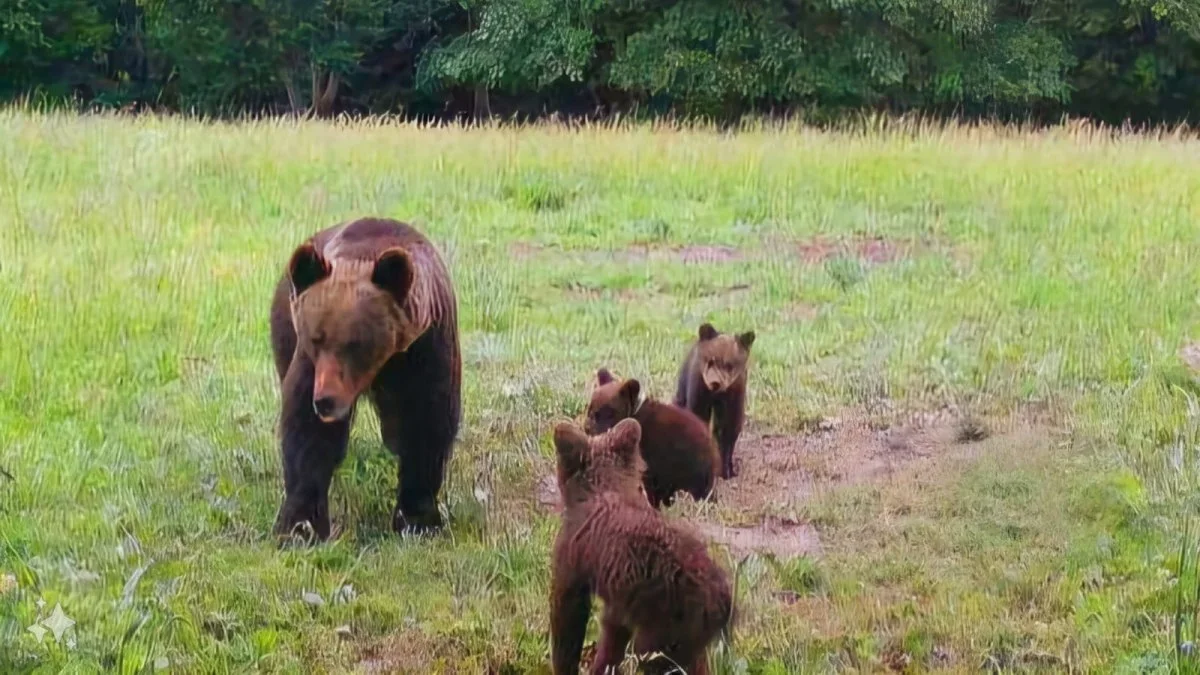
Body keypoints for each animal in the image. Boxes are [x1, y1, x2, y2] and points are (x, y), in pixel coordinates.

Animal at [270, 218, 460, 538]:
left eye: (356, 343)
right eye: (316, 337)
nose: (326, 401)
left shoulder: (425, 349)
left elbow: (427, 423)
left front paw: (417, 519)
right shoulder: (310, 363)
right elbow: (307, 433)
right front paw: (301, 525)